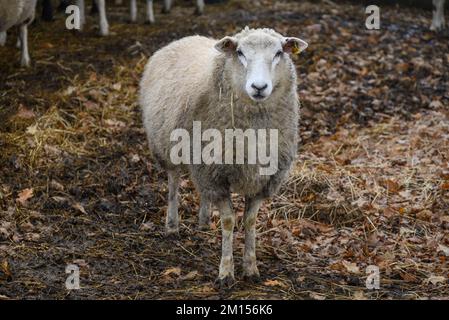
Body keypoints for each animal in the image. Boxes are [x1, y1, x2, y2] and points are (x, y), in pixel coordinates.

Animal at [140, 27, 308, 286]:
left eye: (279, 53)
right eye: (240, 53)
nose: (259, 87)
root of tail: (187, 38)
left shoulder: (261, 179)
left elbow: (250, 221)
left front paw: (250, 268)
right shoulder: (215, 175)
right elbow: (228, 221)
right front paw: (226, 272)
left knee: (201, 193)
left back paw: (204, 221)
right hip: (167, 146)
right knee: (174, 183)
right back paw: (172, 225)